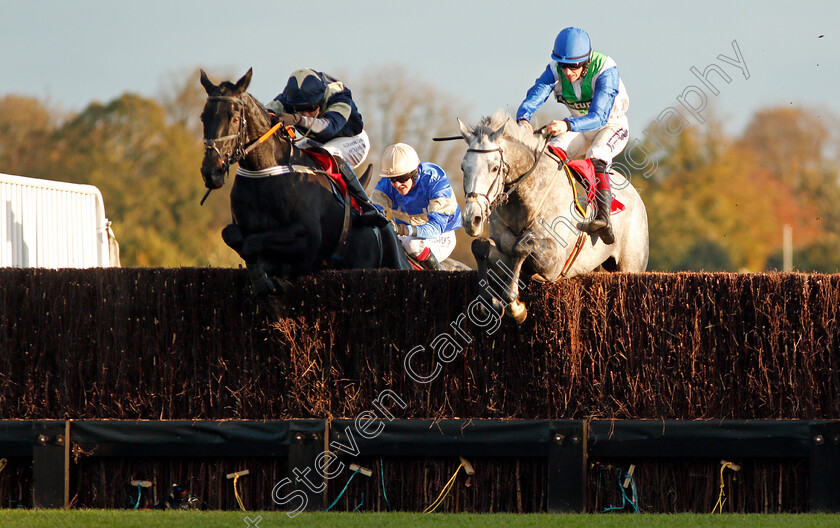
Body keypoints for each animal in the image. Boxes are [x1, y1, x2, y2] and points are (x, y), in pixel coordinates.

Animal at [198, 68, 406, 294]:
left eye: (235, 119)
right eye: (203, 118)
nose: (211, 171)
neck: (265, 174)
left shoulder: (308, 240)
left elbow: (252, 243)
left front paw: (269, 278)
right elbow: (234, 237)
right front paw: (264, 278)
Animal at [460, 110, 648, 322]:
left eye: (493, 168)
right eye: (463, 168)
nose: (472, 219)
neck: (524, 203)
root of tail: (634, 192)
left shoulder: (553, 264)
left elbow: (522, 246)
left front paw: (515, 306)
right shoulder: (503, 252)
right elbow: (481, 246)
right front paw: (487, 302)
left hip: (631, 265)